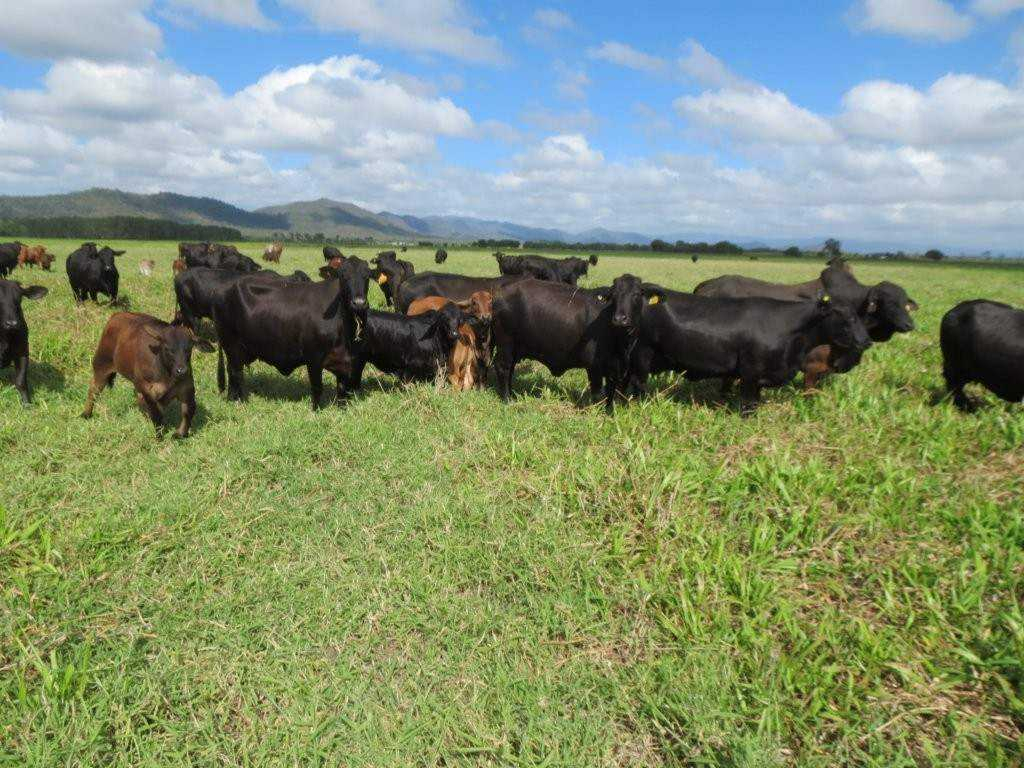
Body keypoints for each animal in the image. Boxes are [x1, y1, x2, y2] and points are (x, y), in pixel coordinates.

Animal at [81, 312, 213, 438]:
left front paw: (180, 434)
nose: (181, 370)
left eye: (189, 349)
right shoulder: (148, 390)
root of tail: (117, 315)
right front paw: (159, 435)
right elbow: (156, 414)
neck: (168, 377)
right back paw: (86, 414)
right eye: (168, 349)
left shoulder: (187, 388)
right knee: (94, 390)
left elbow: (187, 412)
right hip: (101, 364)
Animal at [213, 257, 371, 409]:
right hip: (231, 344)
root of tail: (227, 288)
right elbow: (317, 388)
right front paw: (316, 411)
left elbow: (342, 389)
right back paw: (238, 400)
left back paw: (233, 399)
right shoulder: (313, 357)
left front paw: (342, 408)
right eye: (343, 275)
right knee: (235, 372)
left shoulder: (345, 360)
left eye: (367, 276)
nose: (359, 302)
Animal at [490, 275, 651, 413]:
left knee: (510, 369)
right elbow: (598, 394)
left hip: (515, 348)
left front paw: (609, 411)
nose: (620, 318)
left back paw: (512, 394)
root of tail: (500, 292)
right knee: (502, 367)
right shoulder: (594, 367)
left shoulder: (614, 369)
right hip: (506, 344)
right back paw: (507, 398)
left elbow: (610, 393)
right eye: (614, 295)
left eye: (636, 294)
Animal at [627, 289, 872, 413]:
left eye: (859, 315)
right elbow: (748, 404)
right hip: (642, 354)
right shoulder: (750, 372)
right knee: (638, 384)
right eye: (844, 316)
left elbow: (755, 400)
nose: (867, 341)